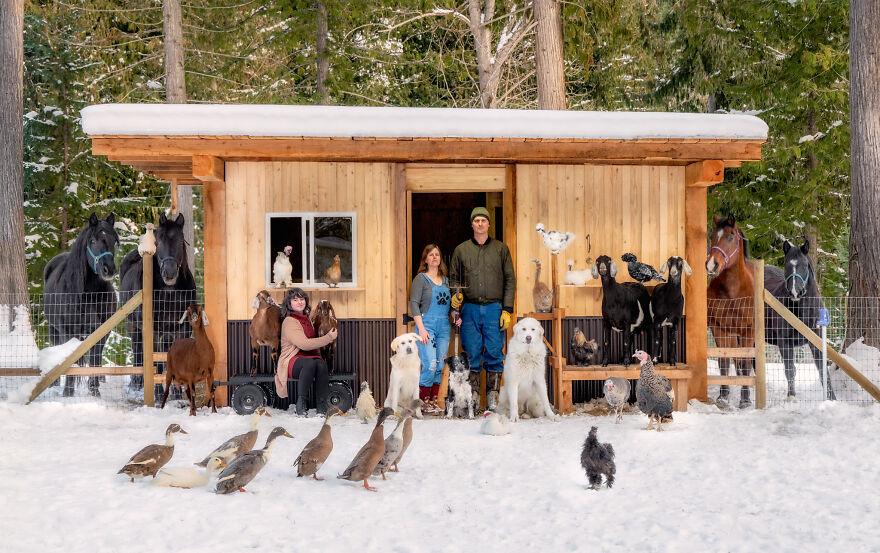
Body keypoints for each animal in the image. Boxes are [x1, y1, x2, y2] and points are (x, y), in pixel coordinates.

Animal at [43, 212, 120, 396]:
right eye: (92, 240)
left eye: (114, 240)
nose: (108, 269)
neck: (88, 293)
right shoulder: (69, 332)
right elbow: (71, 361)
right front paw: (68, 393)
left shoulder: (101, 332)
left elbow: (95, 361)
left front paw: (95, 391)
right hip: (53, 328)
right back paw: (55, 383)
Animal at [119, 210, 195, 388]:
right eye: (158, 241)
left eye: (180, 242)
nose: (169, 272)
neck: (169, 292)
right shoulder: (153, 330)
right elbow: (155, 363)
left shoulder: (181, 328)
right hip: (133, 326)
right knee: (137, 350)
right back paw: (137, 383)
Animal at [700, 213, 756, 408]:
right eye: (712, 237)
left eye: (730, 237)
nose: (711, 265)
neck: (733, 292)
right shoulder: (719, 329)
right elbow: (723, 361)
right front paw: (723, 395)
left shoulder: (748, 332)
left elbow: (746, 363)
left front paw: (745, 399)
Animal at [768, 239, 836, 398]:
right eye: (786, 264)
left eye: (804, 265)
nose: (795, 292)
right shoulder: (785, 343)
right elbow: (789, 371)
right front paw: (791, 397)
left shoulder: (816, 342)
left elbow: (823, 372)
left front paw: (832, 399)